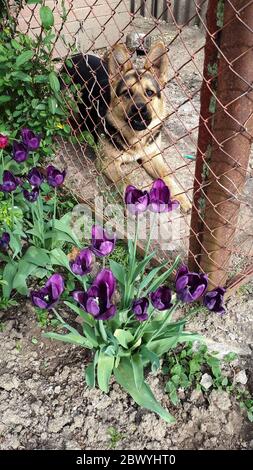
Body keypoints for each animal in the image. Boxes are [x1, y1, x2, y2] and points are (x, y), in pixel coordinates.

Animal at [63, 42, 190, 211]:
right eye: (127, 93)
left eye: (149, 92)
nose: (139, 109)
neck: (136, 138)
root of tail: (74, 57)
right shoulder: (108, 163)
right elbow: (125, 180)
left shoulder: (152, 156)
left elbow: (166, 174)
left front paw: (181, 196)